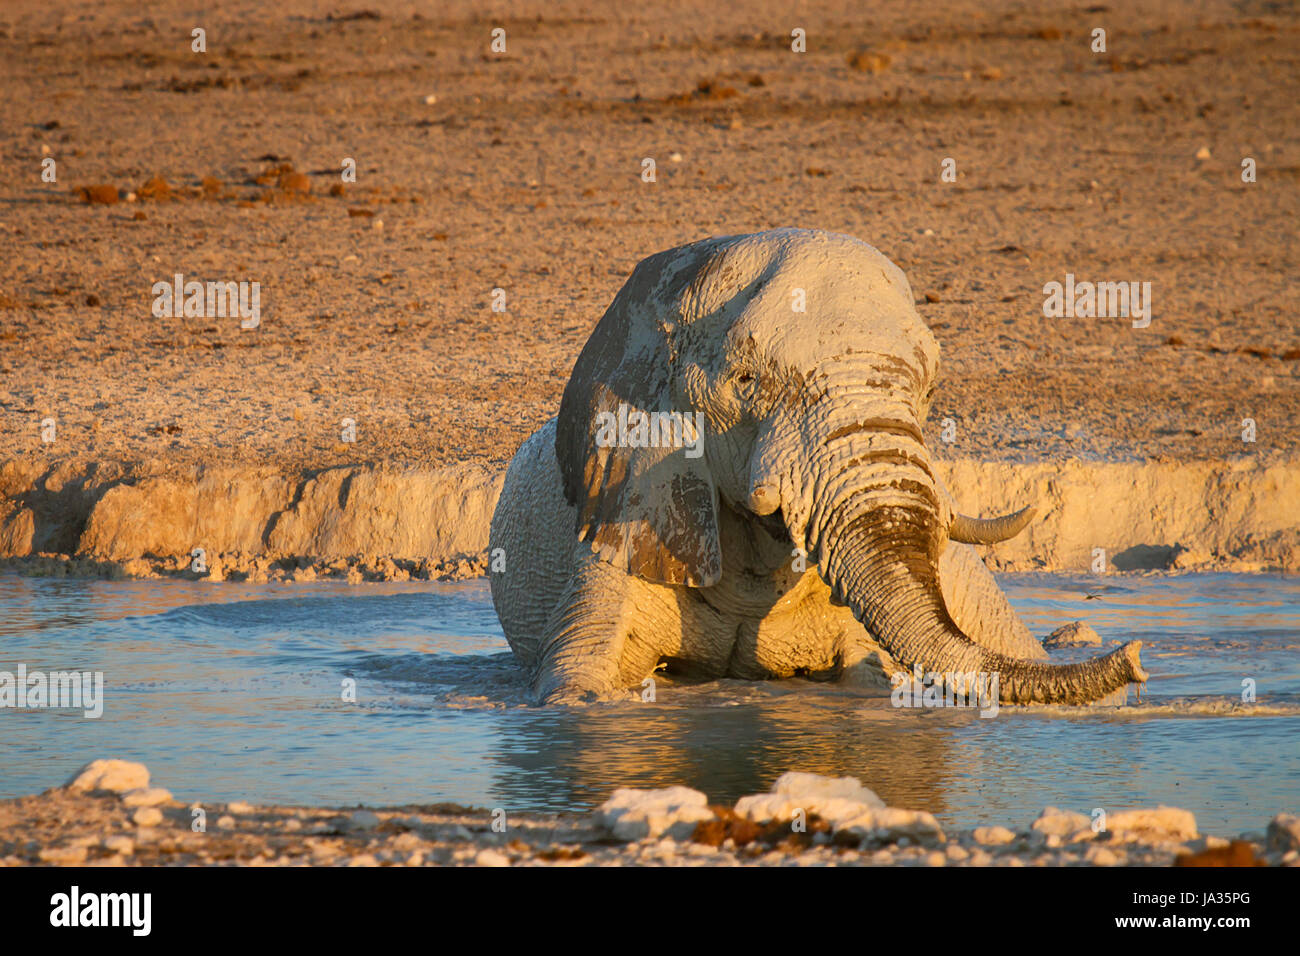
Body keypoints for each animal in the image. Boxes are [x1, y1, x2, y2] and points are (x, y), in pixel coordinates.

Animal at [488, 227, 1149, 707]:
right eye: (746, 381)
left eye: (930, 387)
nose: (1137, 655)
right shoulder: (630, 505)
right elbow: (576, 674)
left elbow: (873, 670)